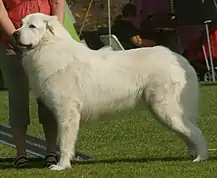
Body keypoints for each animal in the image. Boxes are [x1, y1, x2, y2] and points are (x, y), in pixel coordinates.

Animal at [13, 13, 209, 170]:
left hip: (167, 110)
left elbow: (65, 142)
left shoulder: (67, 112)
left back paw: (200, 158)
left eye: (32, 26)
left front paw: (61, 166)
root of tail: (180, 59)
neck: (50, 47)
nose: (14, 34)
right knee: (188, 133)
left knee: (196, 133)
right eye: (21, 24)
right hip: (164, 112)